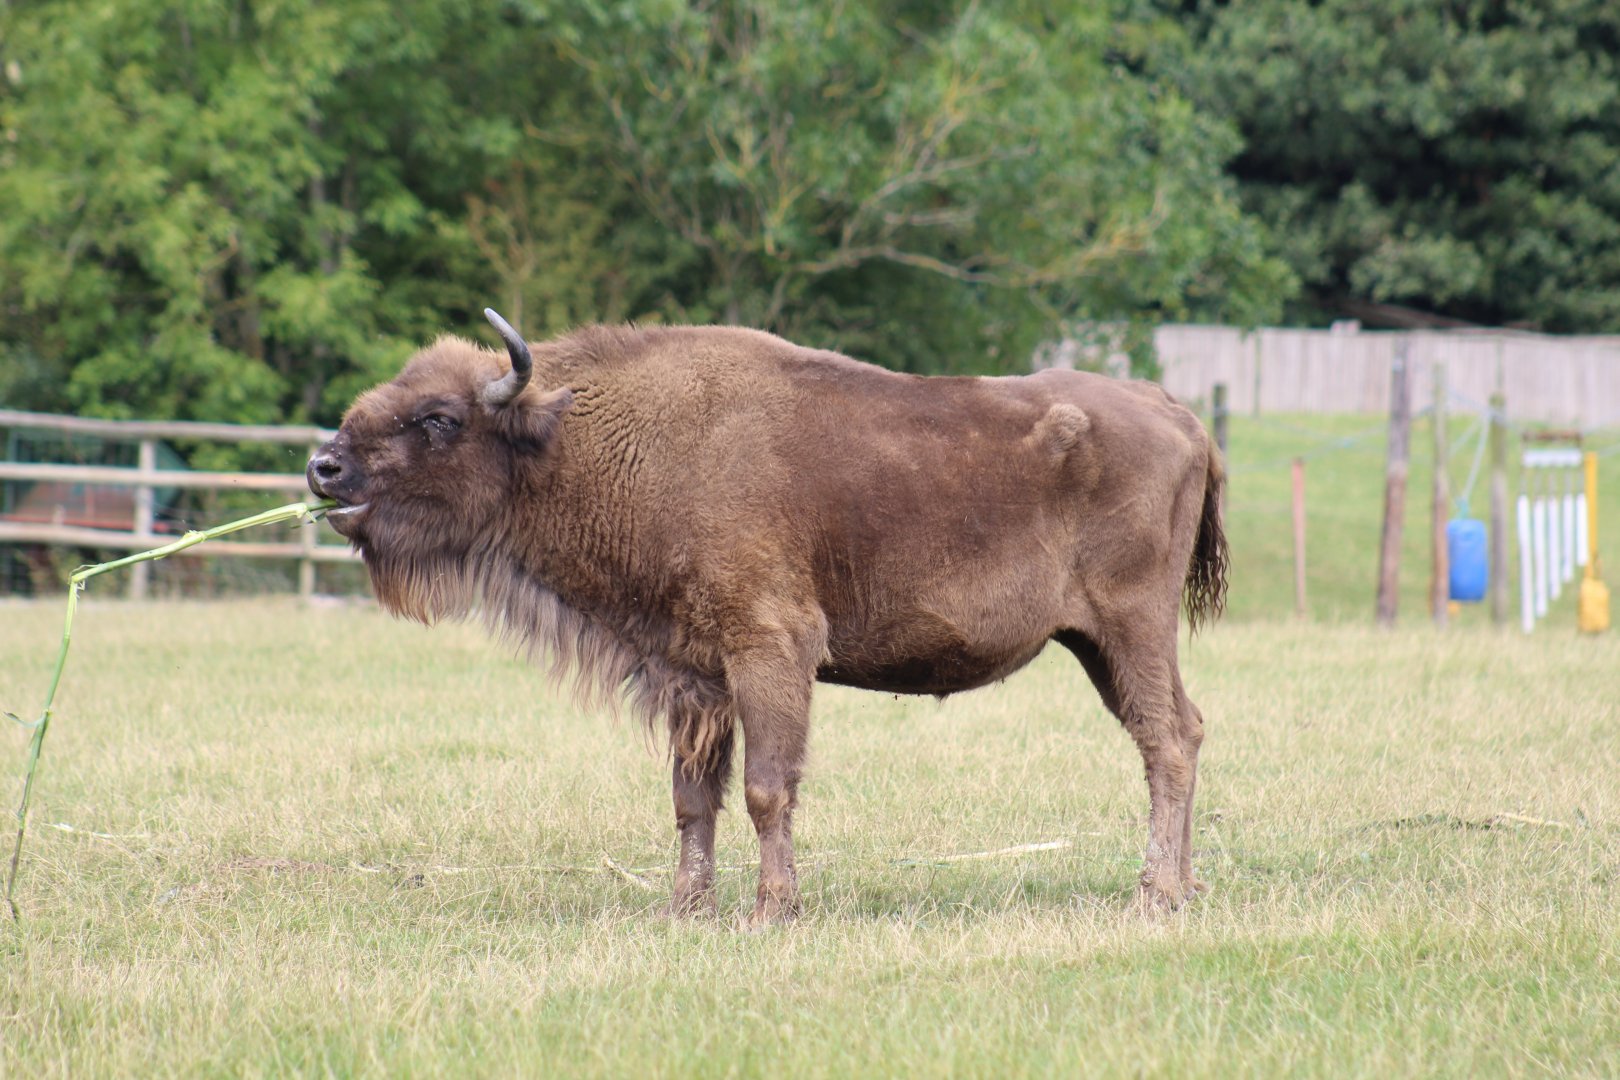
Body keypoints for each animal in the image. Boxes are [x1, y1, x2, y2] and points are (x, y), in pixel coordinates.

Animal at [308, 309, 1226, 922]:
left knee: (1166, 740)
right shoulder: (692, 676)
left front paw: (771, 911)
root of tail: (1180, 414)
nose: (324, 467)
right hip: (1096, 645)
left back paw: (1154, 895)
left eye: (439, 417)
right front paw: (686, 910)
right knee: (1180, 730)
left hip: (1129, 628)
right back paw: (1182, 888)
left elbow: (765, 787)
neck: (588, 436)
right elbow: (693, 797)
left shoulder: (770, 651)